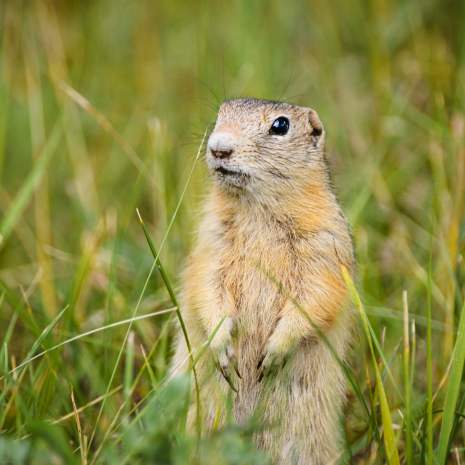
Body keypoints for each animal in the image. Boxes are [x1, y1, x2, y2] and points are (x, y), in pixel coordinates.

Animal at [171, 98, 356, 464]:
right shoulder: (211, 242)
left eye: (281, 125)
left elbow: (317, 295)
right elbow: (207, 285)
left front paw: (272, 355)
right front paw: (223, 349)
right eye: (220, 114)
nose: (219, 147)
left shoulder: (325, 245)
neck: (258, 210)